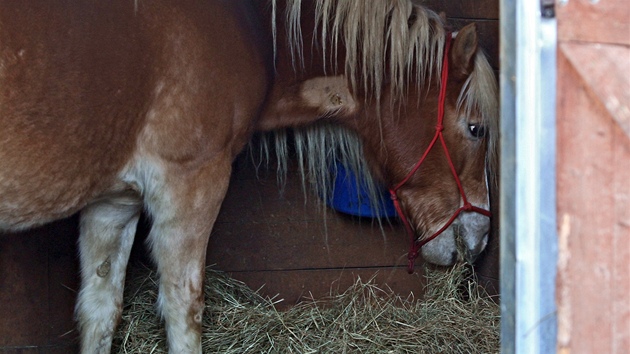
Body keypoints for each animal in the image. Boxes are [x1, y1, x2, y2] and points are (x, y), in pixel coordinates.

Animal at [0, 1, 502, 352]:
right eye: (477, 128)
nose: (481, 236)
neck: (249, 27)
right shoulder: (190, 186)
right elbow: (184, 312)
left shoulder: (113, 204)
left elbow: (101, 311)